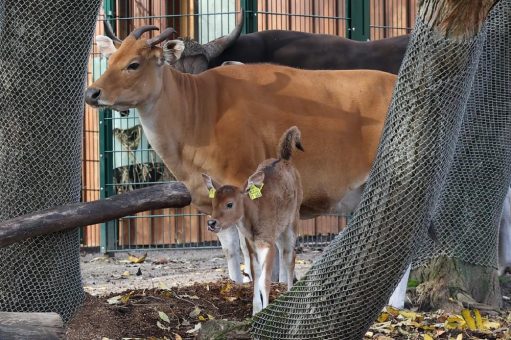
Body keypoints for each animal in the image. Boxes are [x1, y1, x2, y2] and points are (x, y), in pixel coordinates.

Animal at [87, 27, 396, 284]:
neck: (200, 112)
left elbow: (254, 255)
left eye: (134, 64)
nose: (92, 92)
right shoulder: (216, 200)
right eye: (110, 60)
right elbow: (231, 253)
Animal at [203, 127, 304, 314]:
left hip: (293, 220)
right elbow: (255, 273)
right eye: (213, 203)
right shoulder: (251, 243)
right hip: (279, 231)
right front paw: (255, 310)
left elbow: (265, 279)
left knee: (290, 256)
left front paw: (264, 310)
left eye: (230, 204)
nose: (212, 223)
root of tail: (284, 159)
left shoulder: (267, 242)